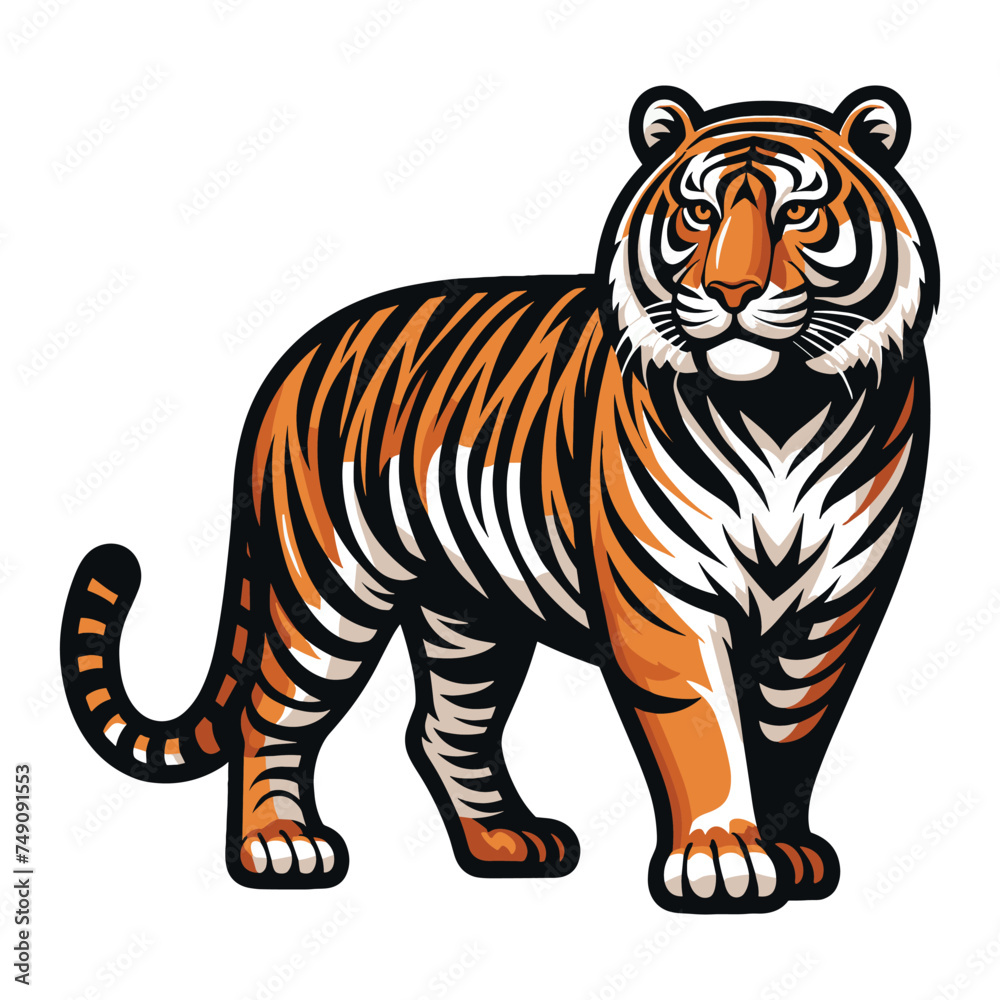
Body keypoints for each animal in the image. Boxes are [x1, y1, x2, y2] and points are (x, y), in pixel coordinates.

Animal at [61, 85, 937, 914]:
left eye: (798, 212)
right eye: (698, 212)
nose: (730, 290)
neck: (779, 410)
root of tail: (291, 360)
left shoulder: (836, 606)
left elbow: (792, 731)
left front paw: (789, 851)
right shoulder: (665, 600)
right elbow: (705, 729)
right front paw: (721, 856)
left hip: (468, 612)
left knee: (442, 728)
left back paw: (505, 843)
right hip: (327, 589)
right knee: (271, 713)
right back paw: (281, 847)